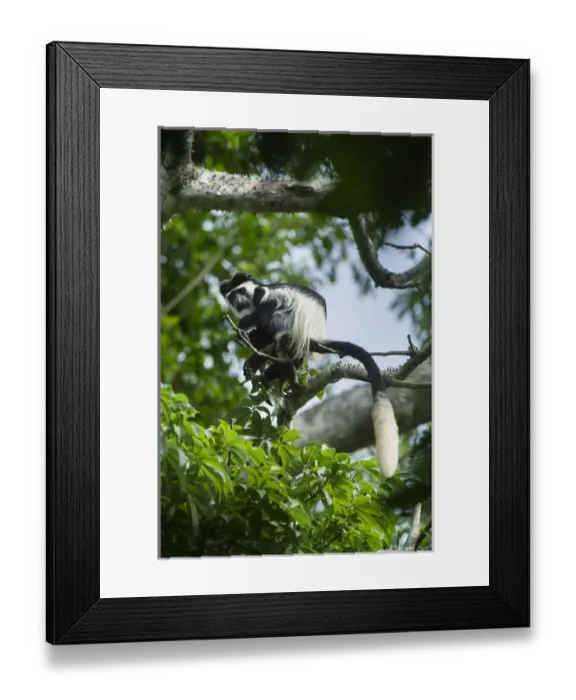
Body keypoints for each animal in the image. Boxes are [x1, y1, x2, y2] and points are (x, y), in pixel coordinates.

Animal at [219, 272, 399, 478]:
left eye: (240, 291)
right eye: (232, 297)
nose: (238, 302)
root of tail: (314, 339)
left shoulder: (264, 295)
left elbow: (267, 310)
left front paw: (243, 327)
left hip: (290, 326)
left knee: (271, 323)